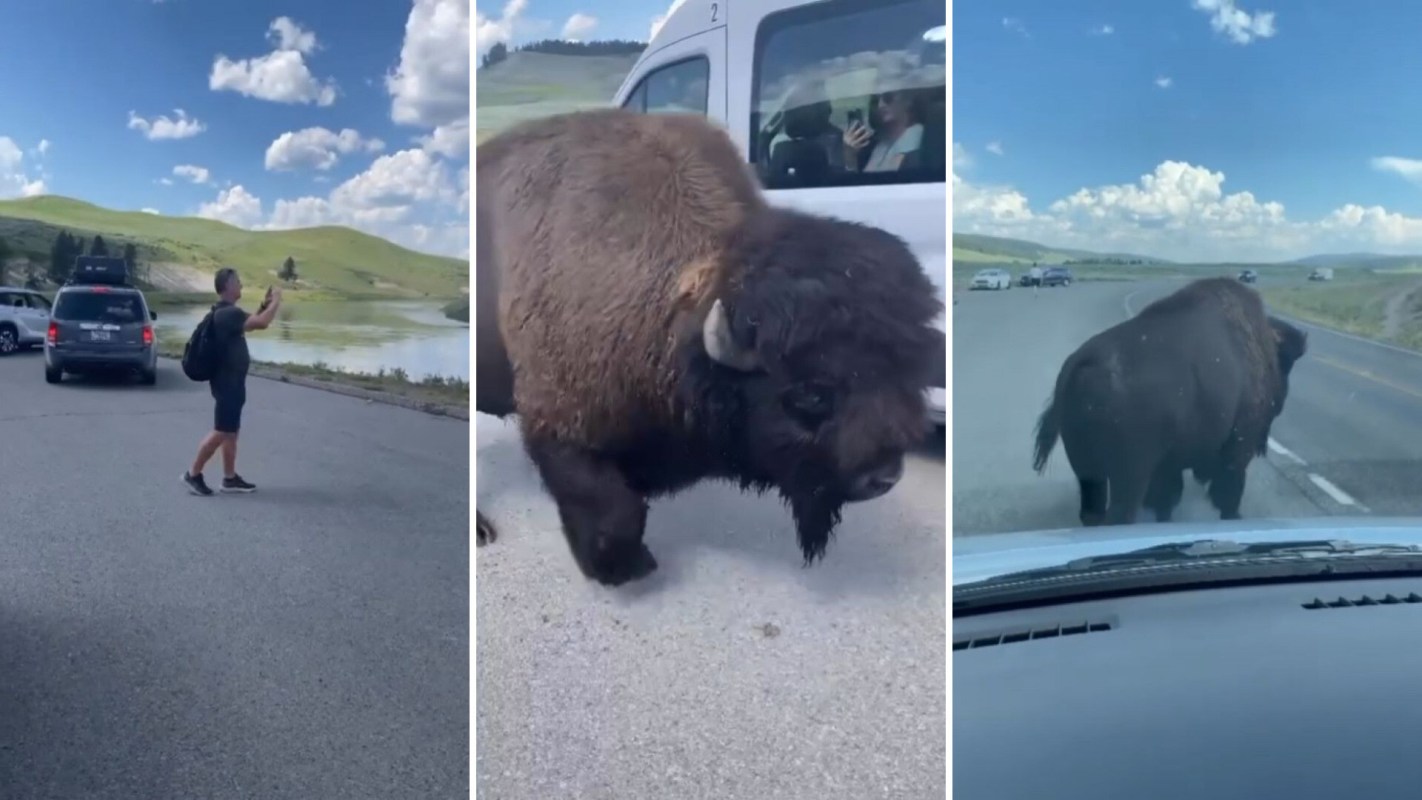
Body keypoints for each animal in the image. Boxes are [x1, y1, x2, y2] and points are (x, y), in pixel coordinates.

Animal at [474, 109, 944, 585]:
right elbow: (613, 509)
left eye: (911, 372)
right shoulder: (561, 427)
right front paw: (626, 567)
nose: (884, 477)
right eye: (811, 393)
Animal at [1029, 278, 1302, 528]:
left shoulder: (1168, 465)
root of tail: (1081, 360)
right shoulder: (1238, 446)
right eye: (1285, 365)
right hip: (1128, 475)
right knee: (1120, 513)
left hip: (1087, 468)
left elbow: (1167, 498)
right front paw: (1233, 516)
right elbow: (1228, 491)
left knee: (1092, 509)